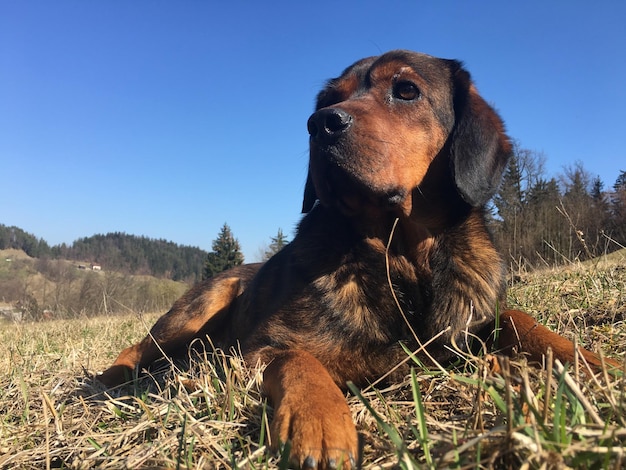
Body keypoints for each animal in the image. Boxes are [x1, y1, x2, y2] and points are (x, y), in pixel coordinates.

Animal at [98, 49, 620, 468]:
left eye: (406, 90)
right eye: (327, 99)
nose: (320, 124)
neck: (400, 257)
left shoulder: (467, 325)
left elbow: (520, 321)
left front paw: (591, 362)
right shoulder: (258, 348)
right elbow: (298, 358)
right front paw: (319, 425)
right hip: (200, 305)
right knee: (140, 348)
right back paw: (112, 380)